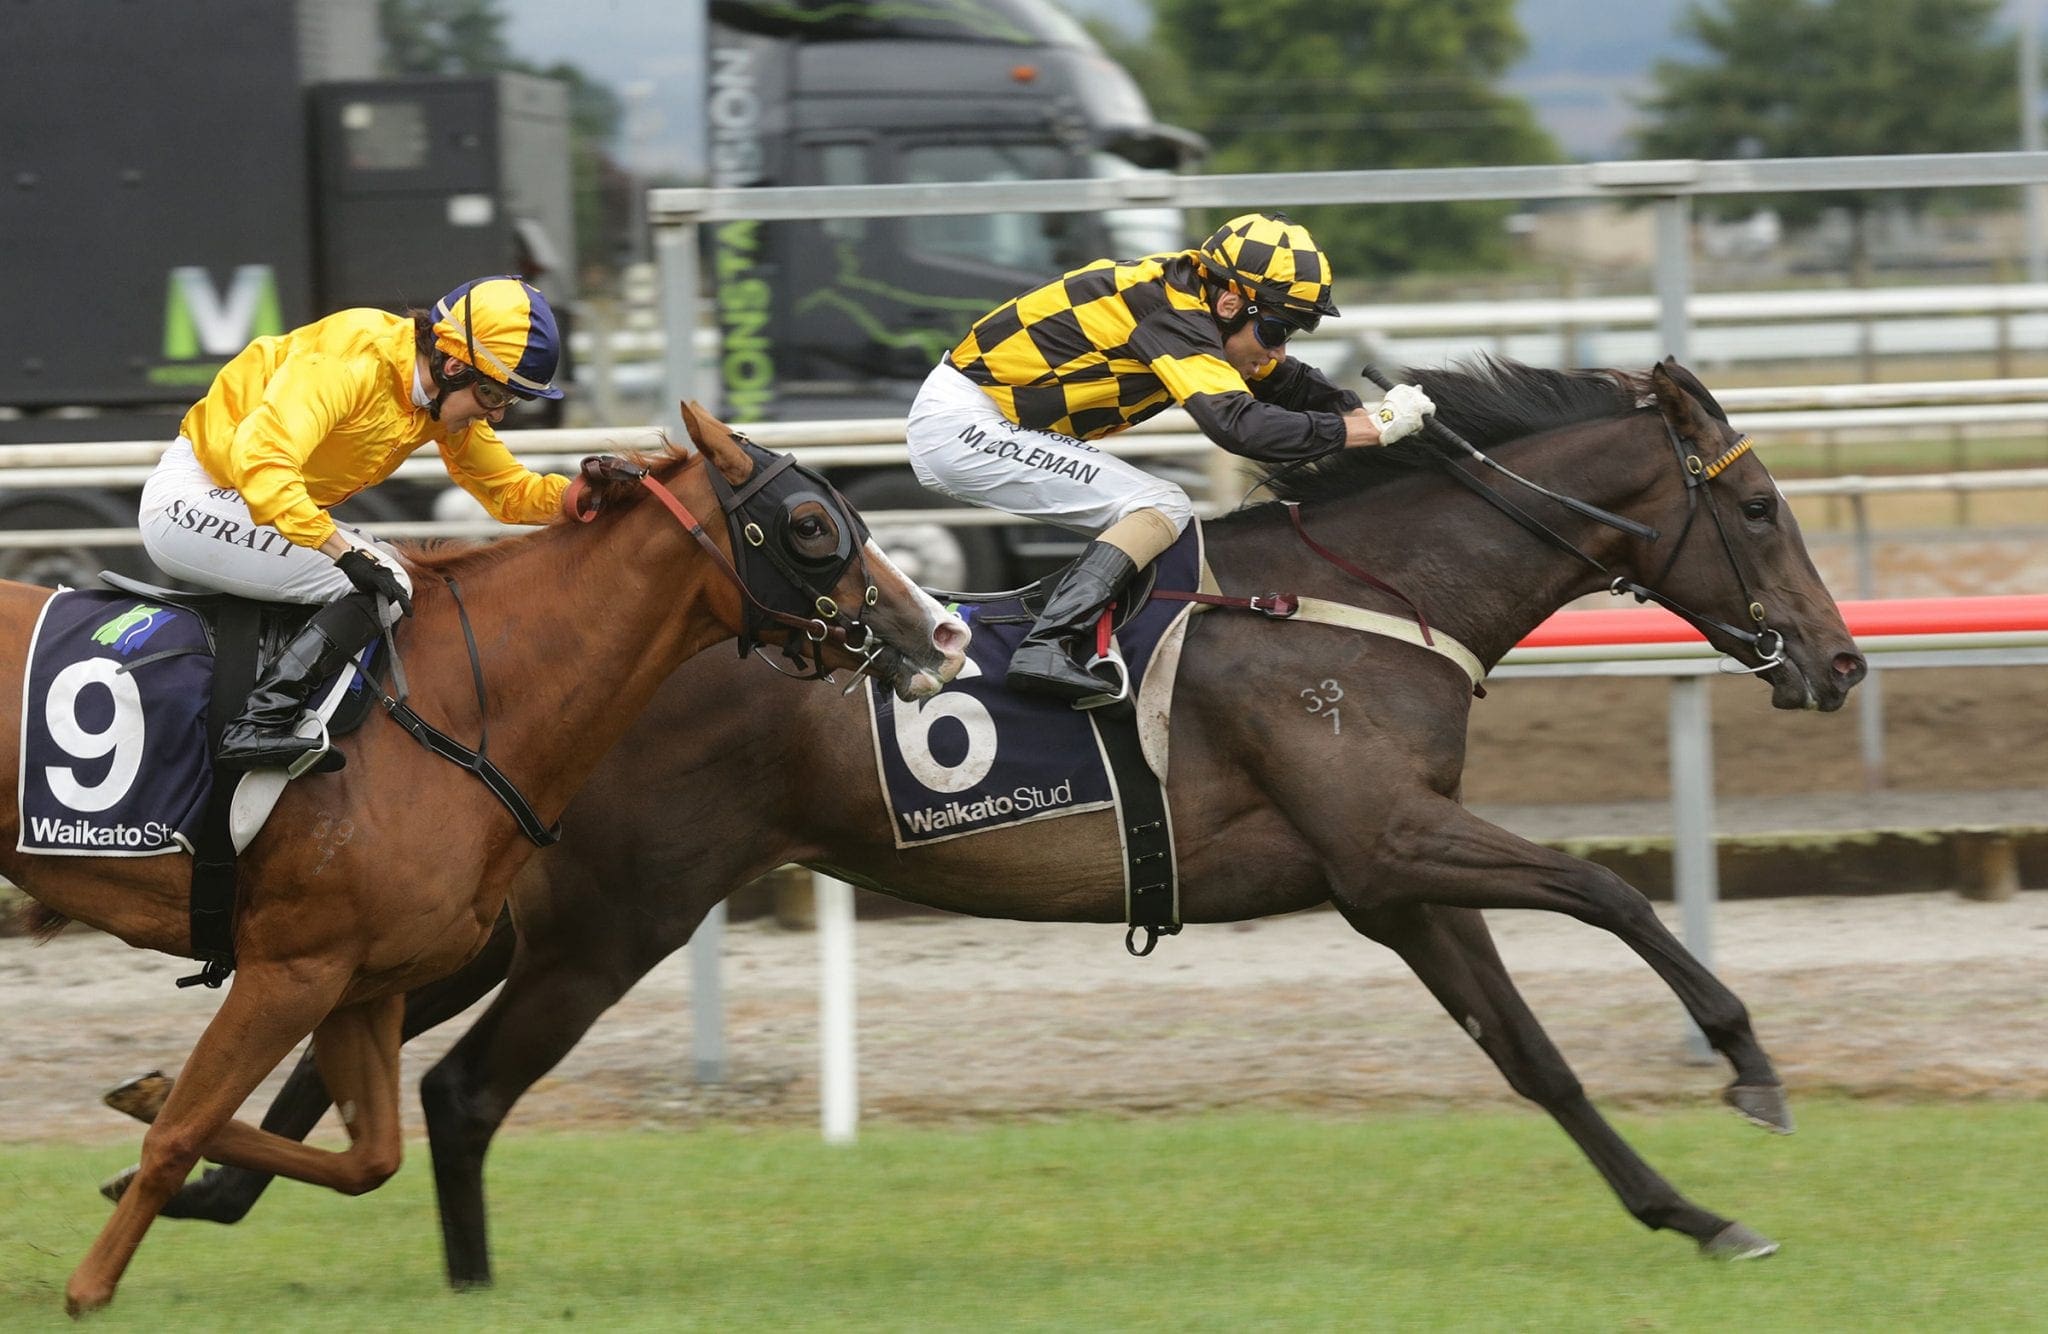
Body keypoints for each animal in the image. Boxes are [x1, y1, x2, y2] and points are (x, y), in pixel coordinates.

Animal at [2, 403, 966, 1311]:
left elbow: (368, 1155)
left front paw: (146, 1101)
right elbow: (183, 1134)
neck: (460, 705)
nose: (943, 635)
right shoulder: (292, 967)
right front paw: (89, 1289)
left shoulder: (361, 977)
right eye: (810, 524)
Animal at [136, 362, 1867, 1286]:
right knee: (462, 1087)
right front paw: (1750, 1064)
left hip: (522, 907)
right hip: (616, 914)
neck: (1377, 595)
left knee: (358, 1025)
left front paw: (1695, 1214)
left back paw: (199, 1165)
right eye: (1760, 504)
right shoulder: (1392, 838)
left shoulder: (1384, 876)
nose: (1840, 660)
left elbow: (1534, 1056)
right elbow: (1608, 892)